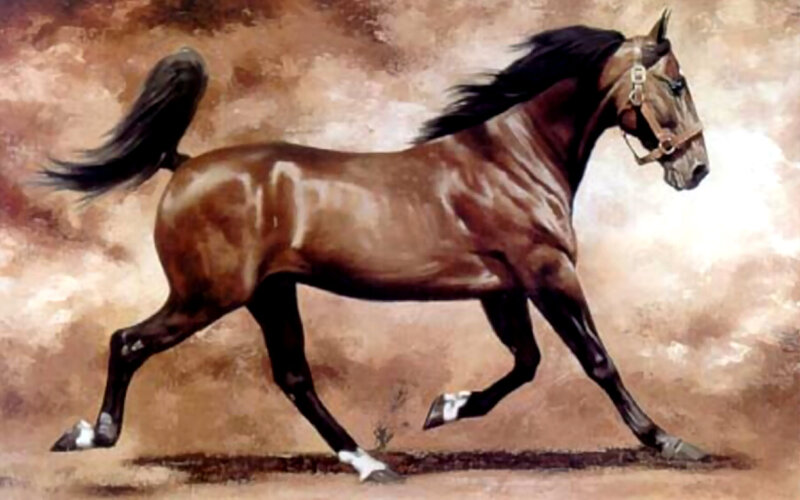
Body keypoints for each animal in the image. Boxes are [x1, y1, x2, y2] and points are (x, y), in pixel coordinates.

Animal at [46, 10, 709, 482]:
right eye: (677, 84)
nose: (697, 169)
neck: (511, 159)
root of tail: (183, 164)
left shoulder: (503, 289)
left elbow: (526, 363)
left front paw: (443, 409)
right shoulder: (547, 274)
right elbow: (595, 360)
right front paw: (669, 441)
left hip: (269, 294)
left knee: (294, 378)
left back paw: (368, 462)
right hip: (206, 296)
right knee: (128, 342)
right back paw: (87, 434)